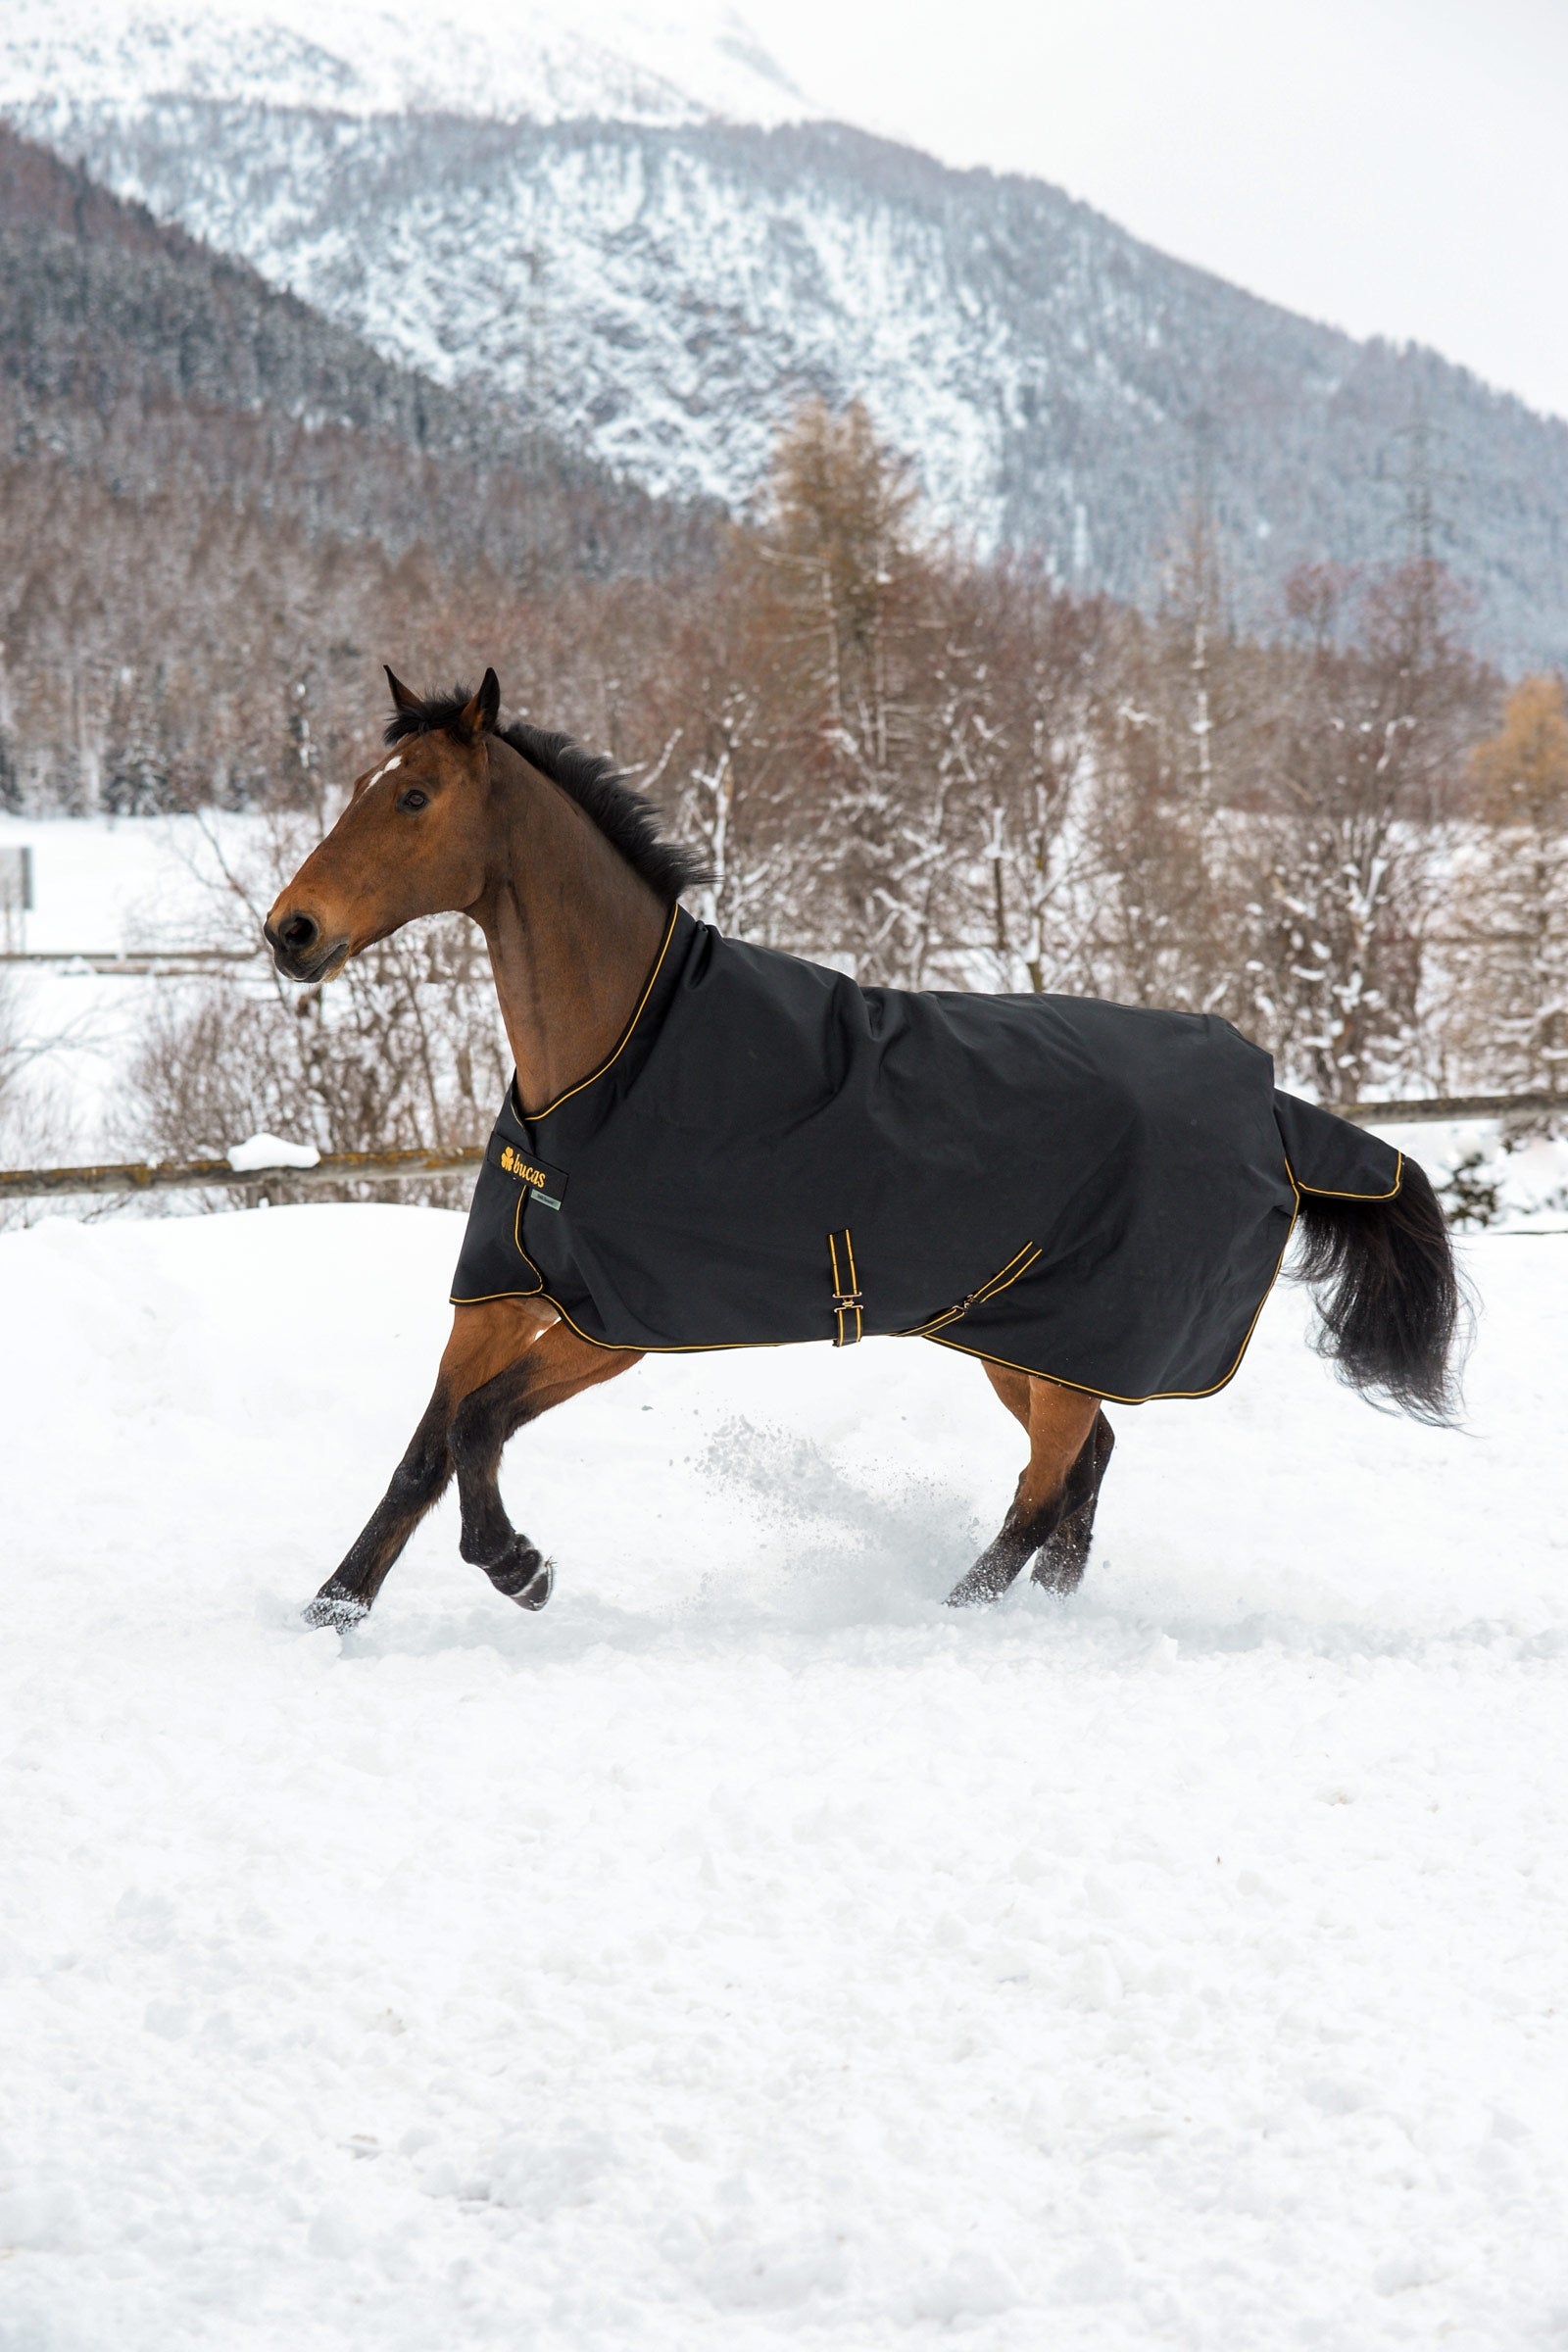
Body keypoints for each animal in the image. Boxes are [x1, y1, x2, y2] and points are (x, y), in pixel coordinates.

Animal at [265, 669, 1463, 1630]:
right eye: (363, 785)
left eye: (415, 797)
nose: (291, 932)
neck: (614, 1062)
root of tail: (1275, 1108)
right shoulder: (502, 1294)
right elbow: (425, 1452)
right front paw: (334, 1611)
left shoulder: (619, 1324)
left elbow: (478, 1427)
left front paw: (520, 1569)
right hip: (1021, 1340)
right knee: (1080, 1476)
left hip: (1068, 1342)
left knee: (1042, 1494)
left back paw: (948, 1615)